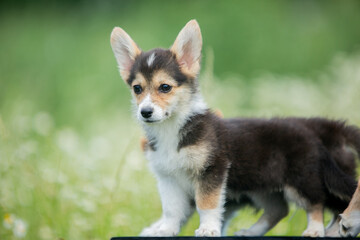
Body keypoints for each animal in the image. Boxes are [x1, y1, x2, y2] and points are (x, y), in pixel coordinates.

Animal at [109, 20, 360, 236]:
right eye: (137, 89)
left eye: (164, 87)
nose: (145, 112)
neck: (172, 129)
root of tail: (317, 131)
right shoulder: (168, 178)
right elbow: (171, 210)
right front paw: (165, 231)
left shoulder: (212, 170)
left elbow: (207, 204)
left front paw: (208, 229)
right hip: (263, 186)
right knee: (279, 210)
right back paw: (251, 232)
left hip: (301, 180)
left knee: (318, 204)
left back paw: (315, 230)